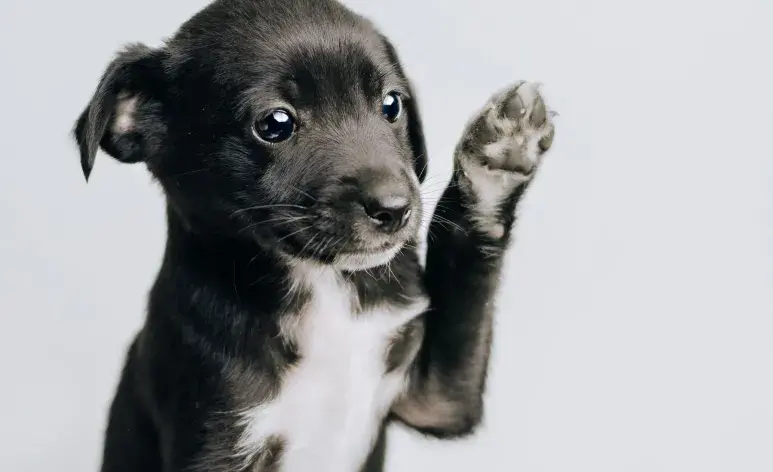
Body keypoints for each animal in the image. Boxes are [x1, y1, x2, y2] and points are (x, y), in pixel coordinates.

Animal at [74, 0, 556, 472]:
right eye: (275, 123)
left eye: (391, 105)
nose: (395, 209)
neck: (322, 288)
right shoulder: (217, 435)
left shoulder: (437, 400)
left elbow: (468, 287)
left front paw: (498, 157)